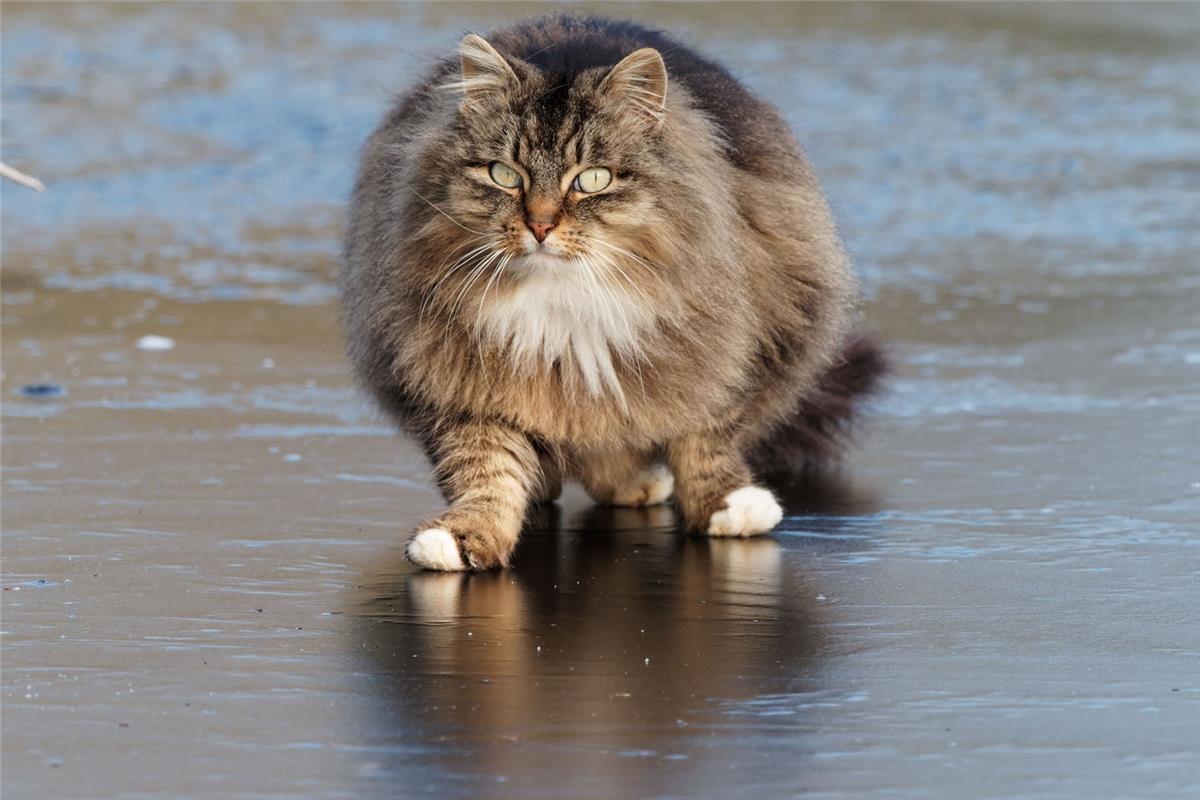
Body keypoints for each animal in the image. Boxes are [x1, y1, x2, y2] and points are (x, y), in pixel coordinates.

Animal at [343, 17, 888, 568]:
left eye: (592, 180)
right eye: (504, 175)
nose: (540, 226)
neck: (561, 307)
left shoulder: (717, 348)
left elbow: (705, 437)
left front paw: (727, 507)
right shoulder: (462, 378)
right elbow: (487, 469)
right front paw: (464, 537)